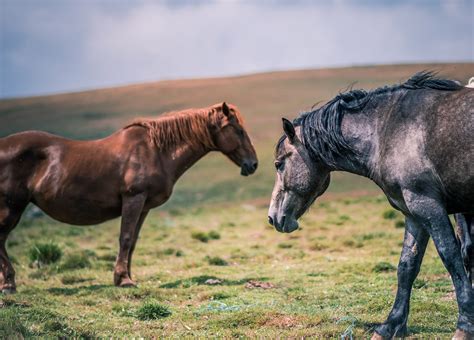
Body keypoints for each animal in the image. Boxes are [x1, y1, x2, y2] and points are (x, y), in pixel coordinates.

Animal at [0, 101, 258, 292]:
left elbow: (132, 241)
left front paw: (126, 276)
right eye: (238, 130)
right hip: (12, 207)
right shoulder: (133, 199)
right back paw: (9, 284)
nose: (253, 164)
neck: (155, 150)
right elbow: (124, 238)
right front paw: (123, 280)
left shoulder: (144, 206)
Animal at [268, 71, 472, 338]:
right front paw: (390, 325)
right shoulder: (414, 213)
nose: (272, 217)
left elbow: (451, 258)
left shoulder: (428, 206)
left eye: (278, 164)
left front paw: (465, 325)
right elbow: (407, 266)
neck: (388, 130)